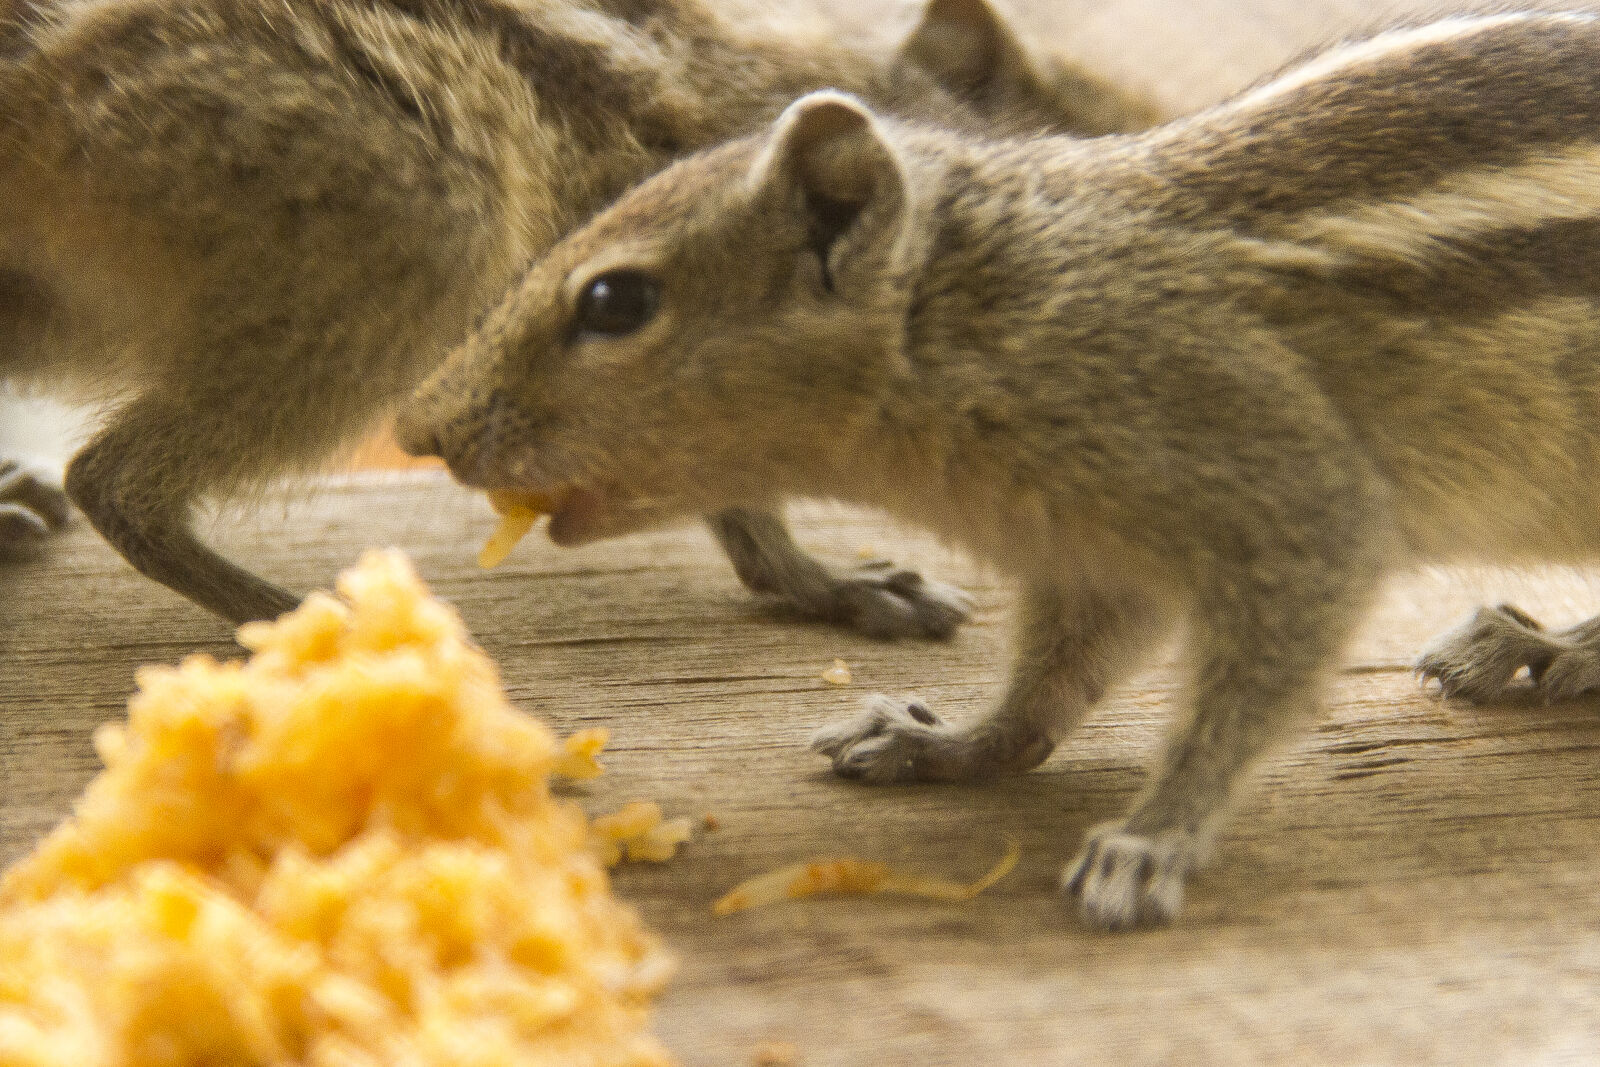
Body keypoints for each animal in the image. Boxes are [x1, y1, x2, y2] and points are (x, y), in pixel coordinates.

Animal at [396, 10, 1600, 930]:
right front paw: (944, 741)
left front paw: (1152, 839)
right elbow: (1050, 686)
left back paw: (1544, 647)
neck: (989, 311)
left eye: (615, 300)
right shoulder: (1092, 553)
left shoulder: (1290, 500)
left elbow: (1241, 695)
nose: (420, 427)